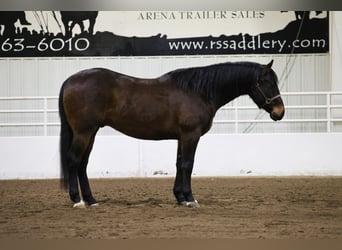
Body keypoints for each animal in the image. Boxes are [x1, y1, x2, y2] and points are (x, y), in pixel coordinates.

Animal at [59, 59, 286, 208]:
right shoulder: (191, 135)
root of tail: (71, 80)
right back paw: (77, 200)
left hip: (91, 132)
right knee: (73, 160)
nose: (280, 112)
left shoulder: (181, 137)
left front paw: (180, 197)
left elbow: (178, 164)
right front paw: (190, 199)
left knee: (82, 163)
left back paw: (91, 200)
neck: (198, 91)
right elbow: (188, 165)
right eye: (267, 83)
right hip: (84, 132)